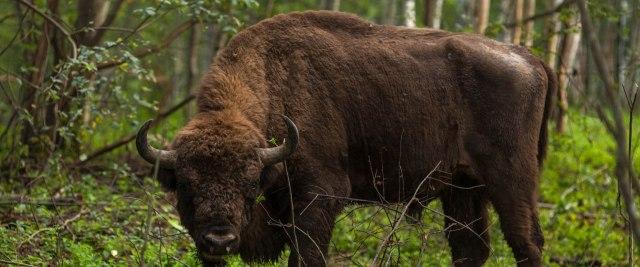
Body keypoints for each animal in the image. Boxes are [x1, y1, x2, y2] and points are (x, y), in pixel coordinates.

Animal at [135, 11, 556, 267]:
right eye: (185, 184)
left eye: (250, 183)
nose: (220, 239)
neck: (275, 81)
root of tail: (530, 58)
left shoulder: (319, 196)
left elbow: (307, 255)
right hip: (461, 187)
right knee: (471, 248)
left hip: (511, 180)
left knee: (526, 242)